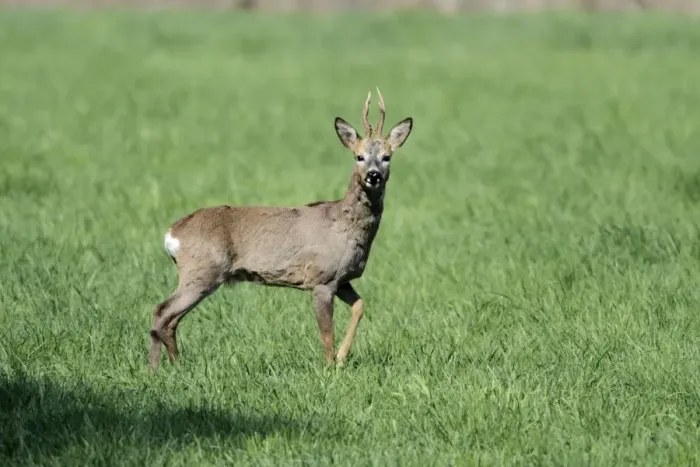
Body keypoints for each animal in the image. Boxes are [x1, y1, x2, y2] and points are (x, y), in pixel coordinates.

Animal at [149, 88, 413, 370]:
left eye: (387, 157)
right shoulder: (321, 278)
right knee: (161, 311)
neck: (345, 227)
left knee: (170, 319)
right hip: (201, 271)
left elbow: (360, 306)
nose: (373, 175)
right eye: (359, 156)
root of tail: (172, 234)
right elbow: (326, 332)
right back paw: (154, 369)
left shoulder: (342, 279)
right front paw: (329, 367)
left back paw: (174, 364)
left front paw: (342, 359)